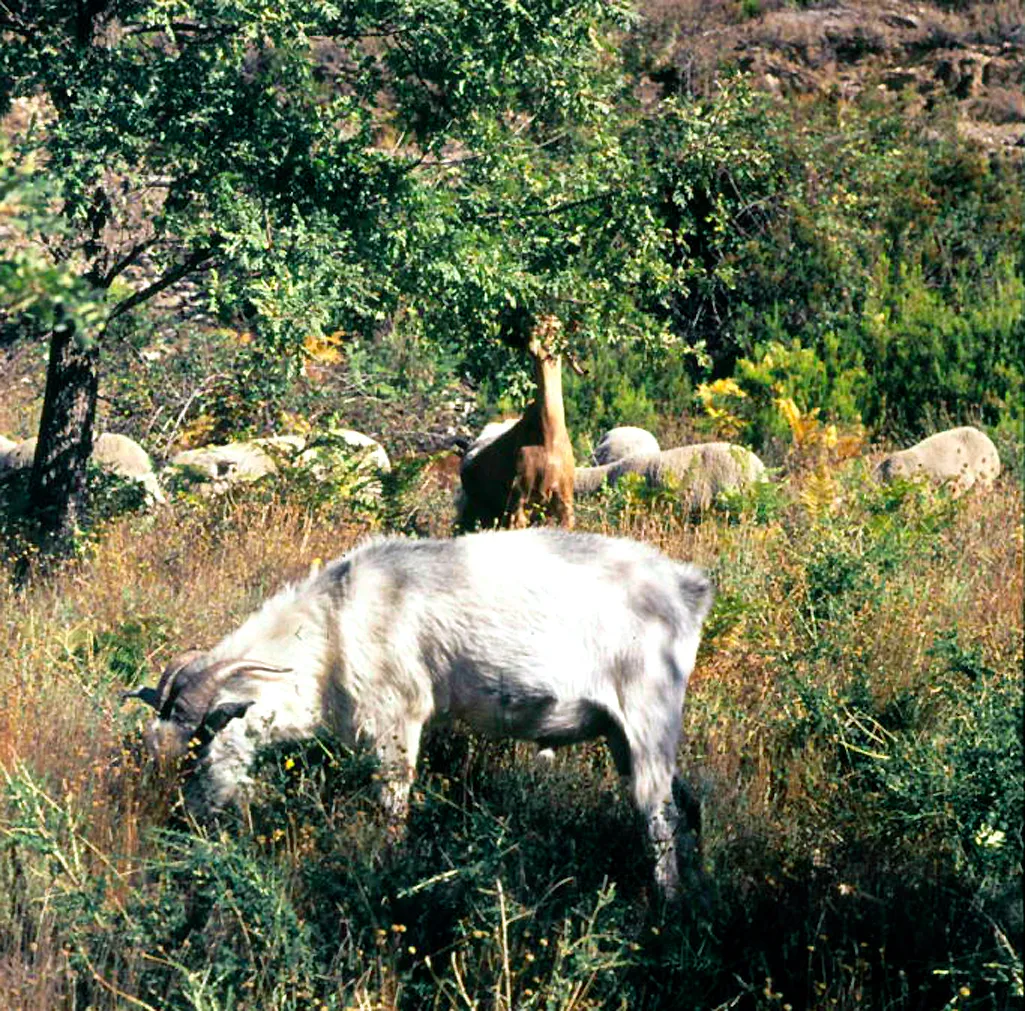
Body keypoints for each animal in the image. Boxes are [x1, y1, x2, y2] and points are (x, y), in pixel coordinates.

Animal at [125, 529, 715, 901]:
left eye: (200, 749)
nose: (184, 824)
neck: (333, 623)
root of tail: (688, 587)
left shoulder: (395, 719)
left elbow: (393, 806)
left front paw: (387, 875)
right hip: (623, 735)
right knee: (685, 804)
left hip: (649, 713)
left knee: (657, 814)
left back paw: (667, 905)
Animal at [459, 319, 581, 530]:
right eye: (530, 327)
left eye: (556, 329)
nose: (533, 344)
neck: (547, 439)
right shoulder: (518, 500)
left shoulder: (564, 502)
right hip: (476, 509)